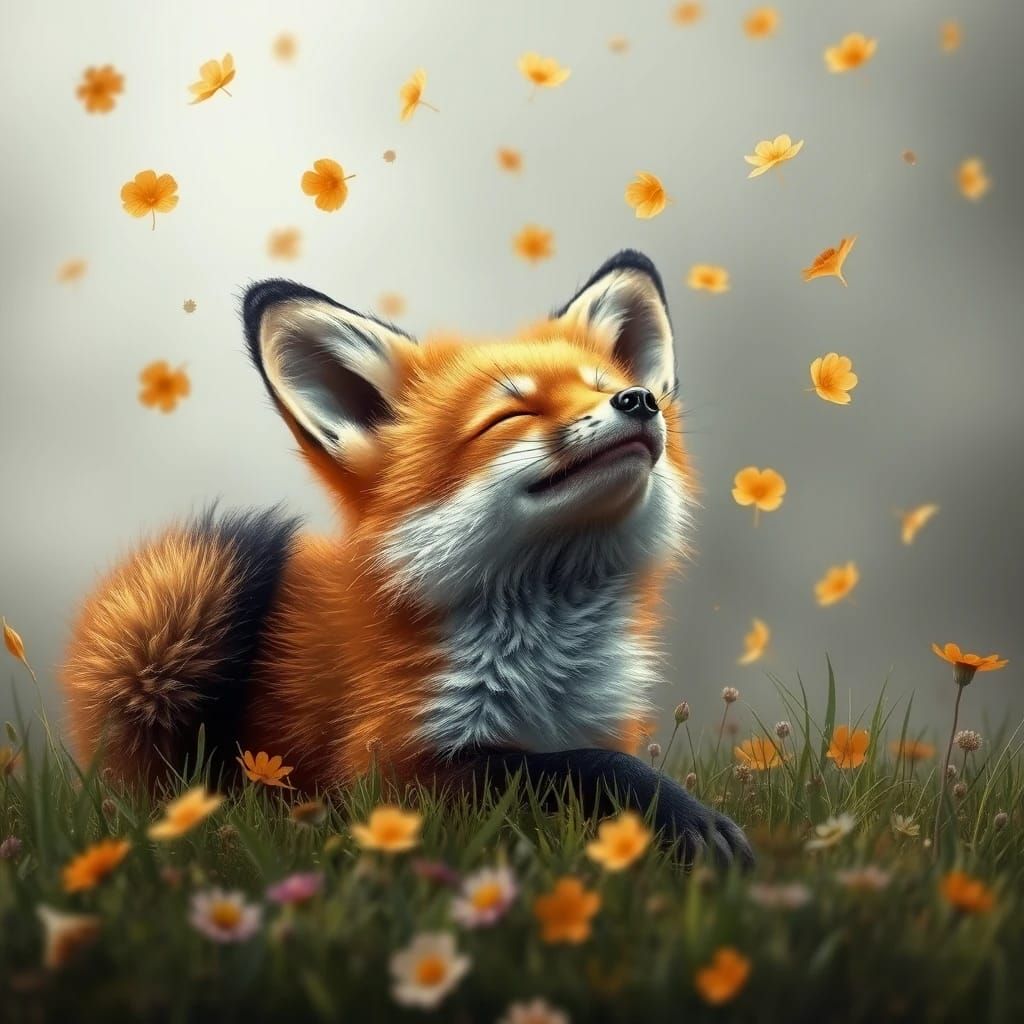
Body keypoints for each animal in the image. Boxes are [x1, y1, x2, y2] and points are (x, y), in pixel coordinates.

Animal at [61, 250, 752, 867]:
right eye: (512, 413)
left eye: (604, 388)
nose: (639, 400)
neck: (545, 672)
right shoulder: (391, 772)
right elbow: (583, 766)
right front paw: (688, 820)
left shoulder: (597, 722)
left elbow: (588, 755)